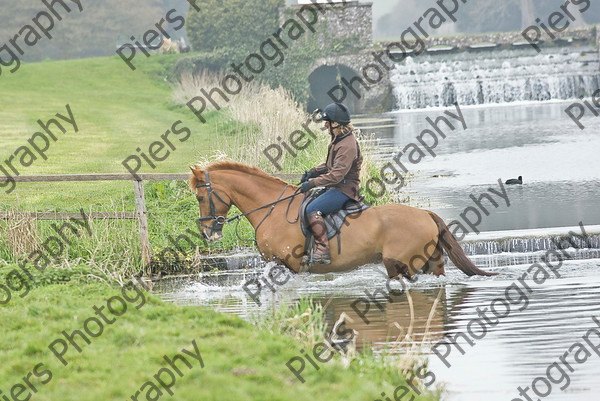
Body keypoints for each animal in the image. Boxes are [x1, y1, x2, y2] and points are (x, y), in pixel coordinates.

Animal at [190, 161, 494, 280]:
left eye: (200, 196)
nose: (207, 233)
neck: (274, 209)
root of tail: (426, 214)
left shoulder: (288, 266)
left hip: (402, 263)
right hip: (432, 263)